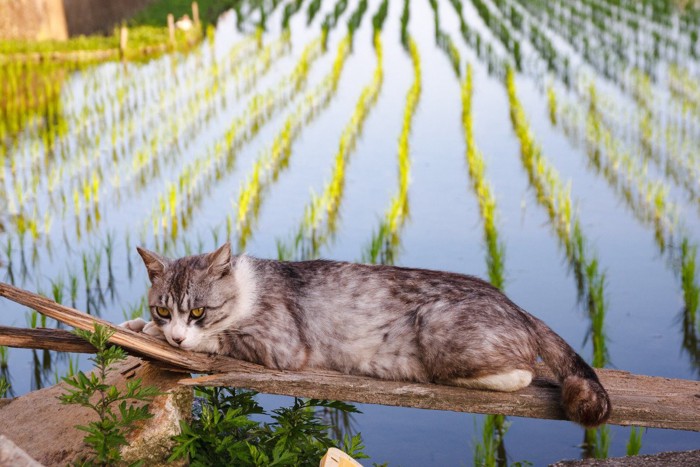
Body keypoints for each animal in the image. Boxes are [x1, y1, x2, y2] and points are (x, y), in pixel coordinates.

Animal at [123, 243, 608, 430]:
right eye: (164, 308)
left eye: (199, 312)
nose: (178, 337)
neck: (246, 288)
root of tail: (517, 306)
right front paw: (139, 326)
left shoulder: (279, 343)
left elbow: (225, 337)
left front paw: (179, 339)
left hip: (437, 325)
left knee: (523, 372)